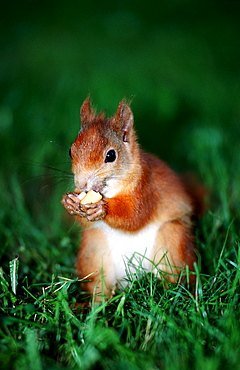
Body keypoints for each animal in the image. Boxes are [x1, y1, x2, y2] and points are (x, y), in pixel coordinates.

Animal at [62, 98, 199, 300]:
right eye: (71, 151)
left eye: (111, 155)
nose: (82, 184)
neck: (112, 191)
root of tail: (131, 280)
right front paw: (69, 202)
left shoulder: (147, 189)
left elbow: (135, 216)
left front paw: (102, 208)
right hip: (94, 250)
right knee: (99, 285)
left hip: (173, 242)